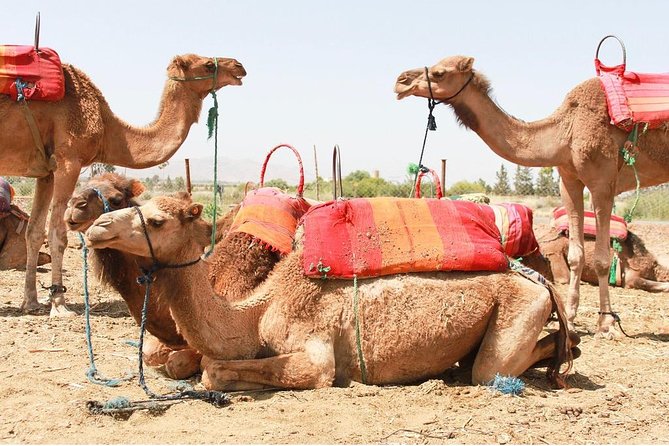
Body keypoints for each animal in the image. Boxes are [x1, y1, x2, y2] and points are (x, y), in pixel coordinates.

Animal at [0, 53, 246, 317]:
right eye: (208, 65)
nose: (239, 66)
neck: (106, 127)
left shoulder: (46, 171)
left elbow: (34, 232)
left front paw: (31, 302)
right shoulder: (68, 159)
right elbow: (58, 234)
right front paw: (59, 305)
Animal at [85, 195, 577, 391]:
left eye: (156, 221)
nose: (96, 227)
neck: (257, 311)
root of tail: (538, 280)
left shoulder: (316, 353)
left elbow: (213, 370)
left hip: (520, 308)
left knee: (492, 369)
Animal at [394, 56, 669, 337]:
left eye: (439, 73)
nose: (400, 82)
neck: (565, 130)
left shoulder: (602, 180)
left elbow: (602, 259)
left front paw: (606, 324)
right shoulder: (568, 179)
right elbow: (576, 256)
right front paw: (571, 320)